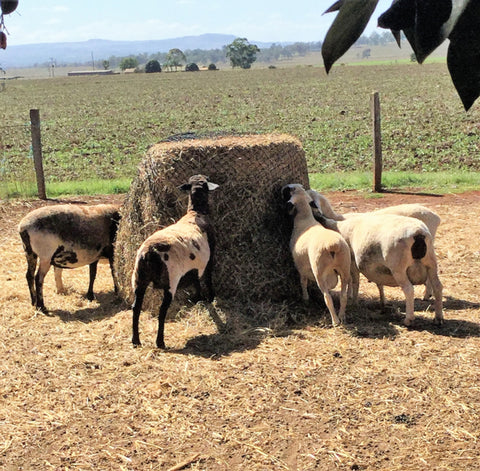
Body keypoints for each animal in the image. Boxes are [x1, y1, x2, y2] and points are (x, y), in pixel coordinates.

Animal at [131, 175, 218, 348]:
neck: (195, 212)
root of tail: (149, 253)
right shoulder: (209, 259)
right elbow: (207, 278)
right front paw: (210, 298)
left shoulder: (194, 268)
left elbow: (196, 281)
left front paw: (198, 298)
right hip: (170, 280)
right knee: (162, 311)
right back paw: (160, 342)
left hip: (139, 279)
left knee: (136, 308)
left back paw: (136, 340)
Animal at [282, 185, 352, 328]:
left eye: (290, 190)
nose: (283, 188)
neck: (304, 218)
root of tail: (333, 245)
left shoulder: (300, 265)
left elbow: (303, 281)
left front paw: (305, 298)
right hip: (345, 268)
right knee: (343, 296)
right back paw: (342, 316)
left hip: (319, 271)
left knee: (327, 297)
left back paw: (335, 320)